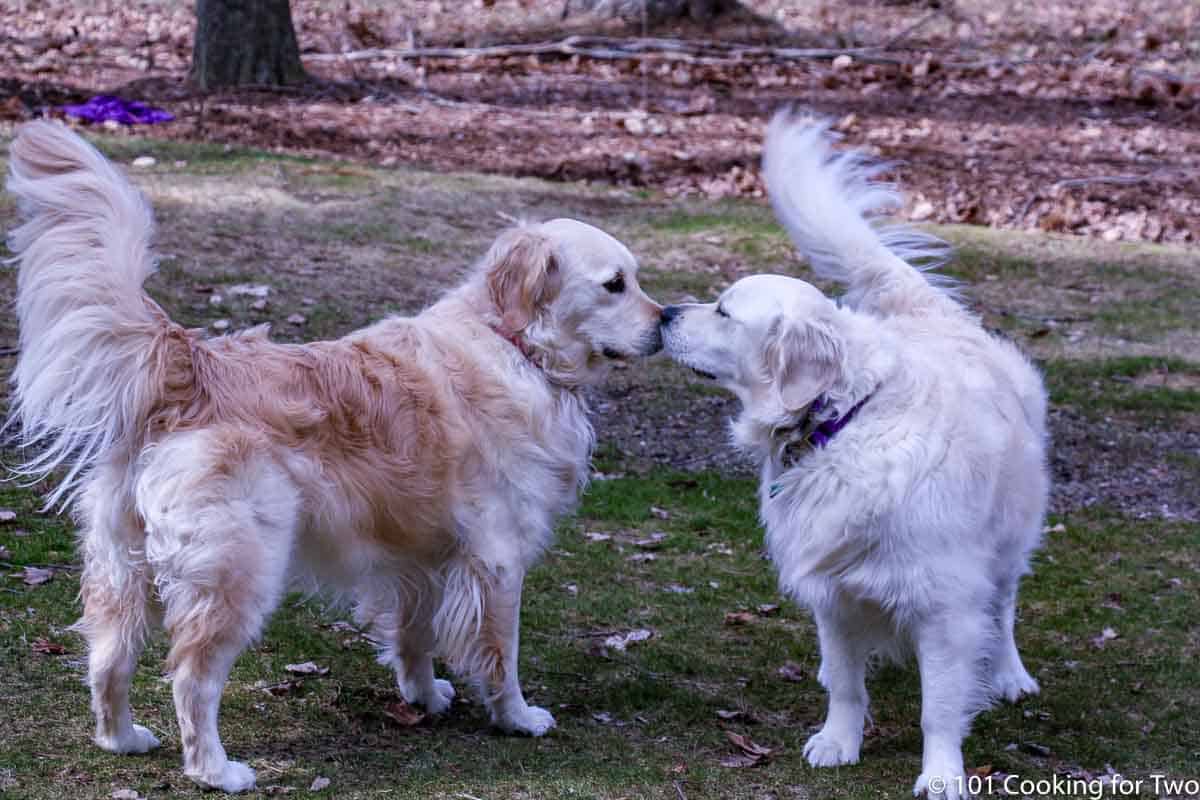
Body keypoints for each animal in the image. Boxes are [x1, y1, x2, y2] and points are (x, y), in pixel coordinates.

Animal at [7, 122, 667, 791]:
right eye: (615, 284)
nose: (667, 322)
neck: (514, 344)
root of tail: (189, 362)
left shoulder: (419, 557)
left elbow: (414, 636)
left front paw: (424, 695)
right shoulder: (499, 558)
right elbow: (501, 654)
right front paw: (518, 717)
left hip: (121, 563)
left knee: (107, 659)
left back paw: (122, 739)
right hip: (239, 569)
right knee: (192, 678)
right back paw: (216, 771)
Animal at [662, 113, 1046, 800]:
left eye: (725, 310)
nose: (666, 315)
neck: (838, 426)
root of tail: (936, 314)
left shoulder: (946, 602)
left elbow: (939, 705)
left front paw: (942, 774)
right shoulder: (833, 588)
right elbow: (846, 682)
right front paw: (837, 742)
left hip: (1010, 538)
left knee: (1002, 607)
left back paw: (1008, 673)